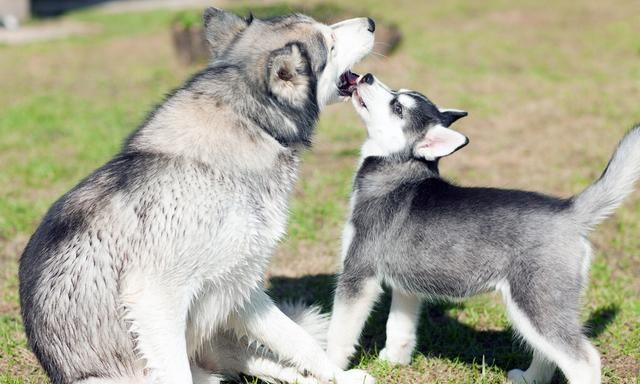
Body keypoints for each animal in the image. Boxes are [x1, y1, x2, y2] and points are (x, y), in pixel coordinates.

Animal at [20, 8, 378, 384]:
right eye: (330, 43)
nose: (371, 22)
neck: (247, 120)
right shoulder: (155, 296)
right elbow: (177, 371)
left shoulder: (239, 286)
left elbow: (298, 340)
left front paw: (337, 373)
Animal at [328, 73, 636, 382]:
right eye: (397, 92)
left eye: (398, 107)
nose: (366, 76)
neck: (397, 170)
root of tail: (569, 210)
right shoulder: (407, 283)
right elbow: (399, 327)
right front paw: (393, 361)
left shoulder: (359, 273)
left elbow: (339, 333)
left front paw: (330, 370)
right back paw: (530, 377)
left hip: (535, 300)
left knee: (584, 359)